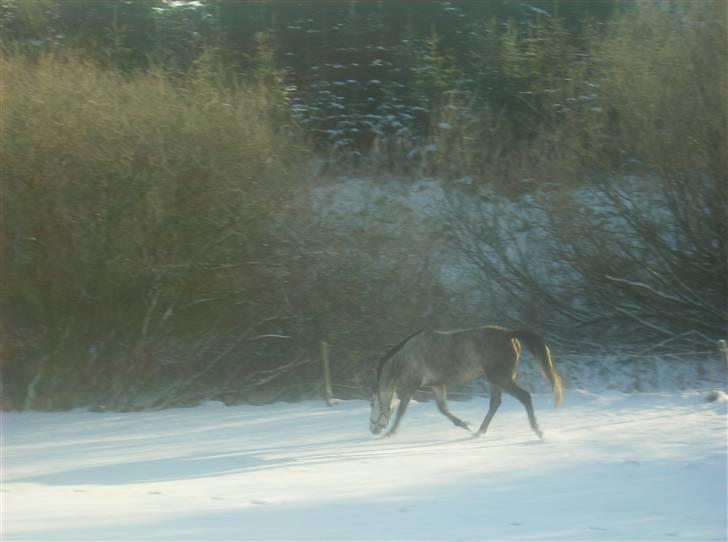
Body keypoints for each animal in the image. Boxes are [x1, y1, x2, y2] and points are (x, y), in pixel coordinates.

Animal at [370, 326, 564, 440]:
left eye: (372, 404)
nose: (373, 429)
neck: (406, 356)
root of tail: (509, 335)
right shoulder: (437, 385)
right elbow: (443, 410)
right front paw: (465, 425)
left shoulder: (412, 385)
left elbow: (402, 410)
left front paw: (390, 433)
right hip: (494, 380)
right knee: (495, 403)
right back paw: (479, 432)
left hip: (501, 378)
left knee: (524, 397)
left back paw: (538, 430)